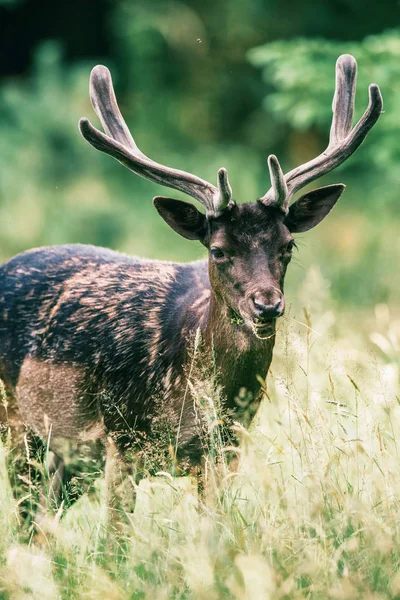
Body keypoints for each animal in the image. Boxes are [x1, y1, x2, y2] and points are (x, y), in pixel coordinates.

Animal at [0, 52, 382, 502]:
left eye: (288, 245)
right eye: (218, 250)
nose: (267, 304)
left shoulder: (226, 449)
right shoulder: (122, 440)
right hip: (17, 424)